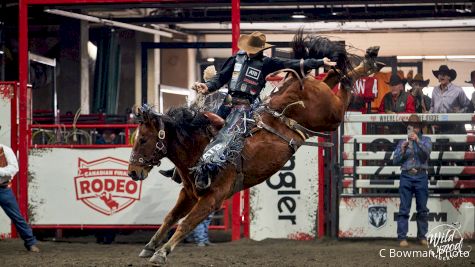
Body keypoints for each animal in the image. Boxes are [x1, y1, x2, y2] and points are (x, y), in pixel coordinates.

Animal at [128, 31, 384, 266]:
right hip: (322, 99)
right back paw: (363, 62)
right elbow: (170, 217)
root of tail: (296, 82)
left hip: (331, 116)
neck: (199, 150)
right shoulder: (189, 194)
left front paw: (162, 252)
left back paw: (368, 63)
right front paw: (150, 246)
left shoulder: (213, 198)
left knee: (344, 88)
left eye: (143, 140)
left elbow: (186, 223)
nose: (132, 172)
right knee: (333, 74)